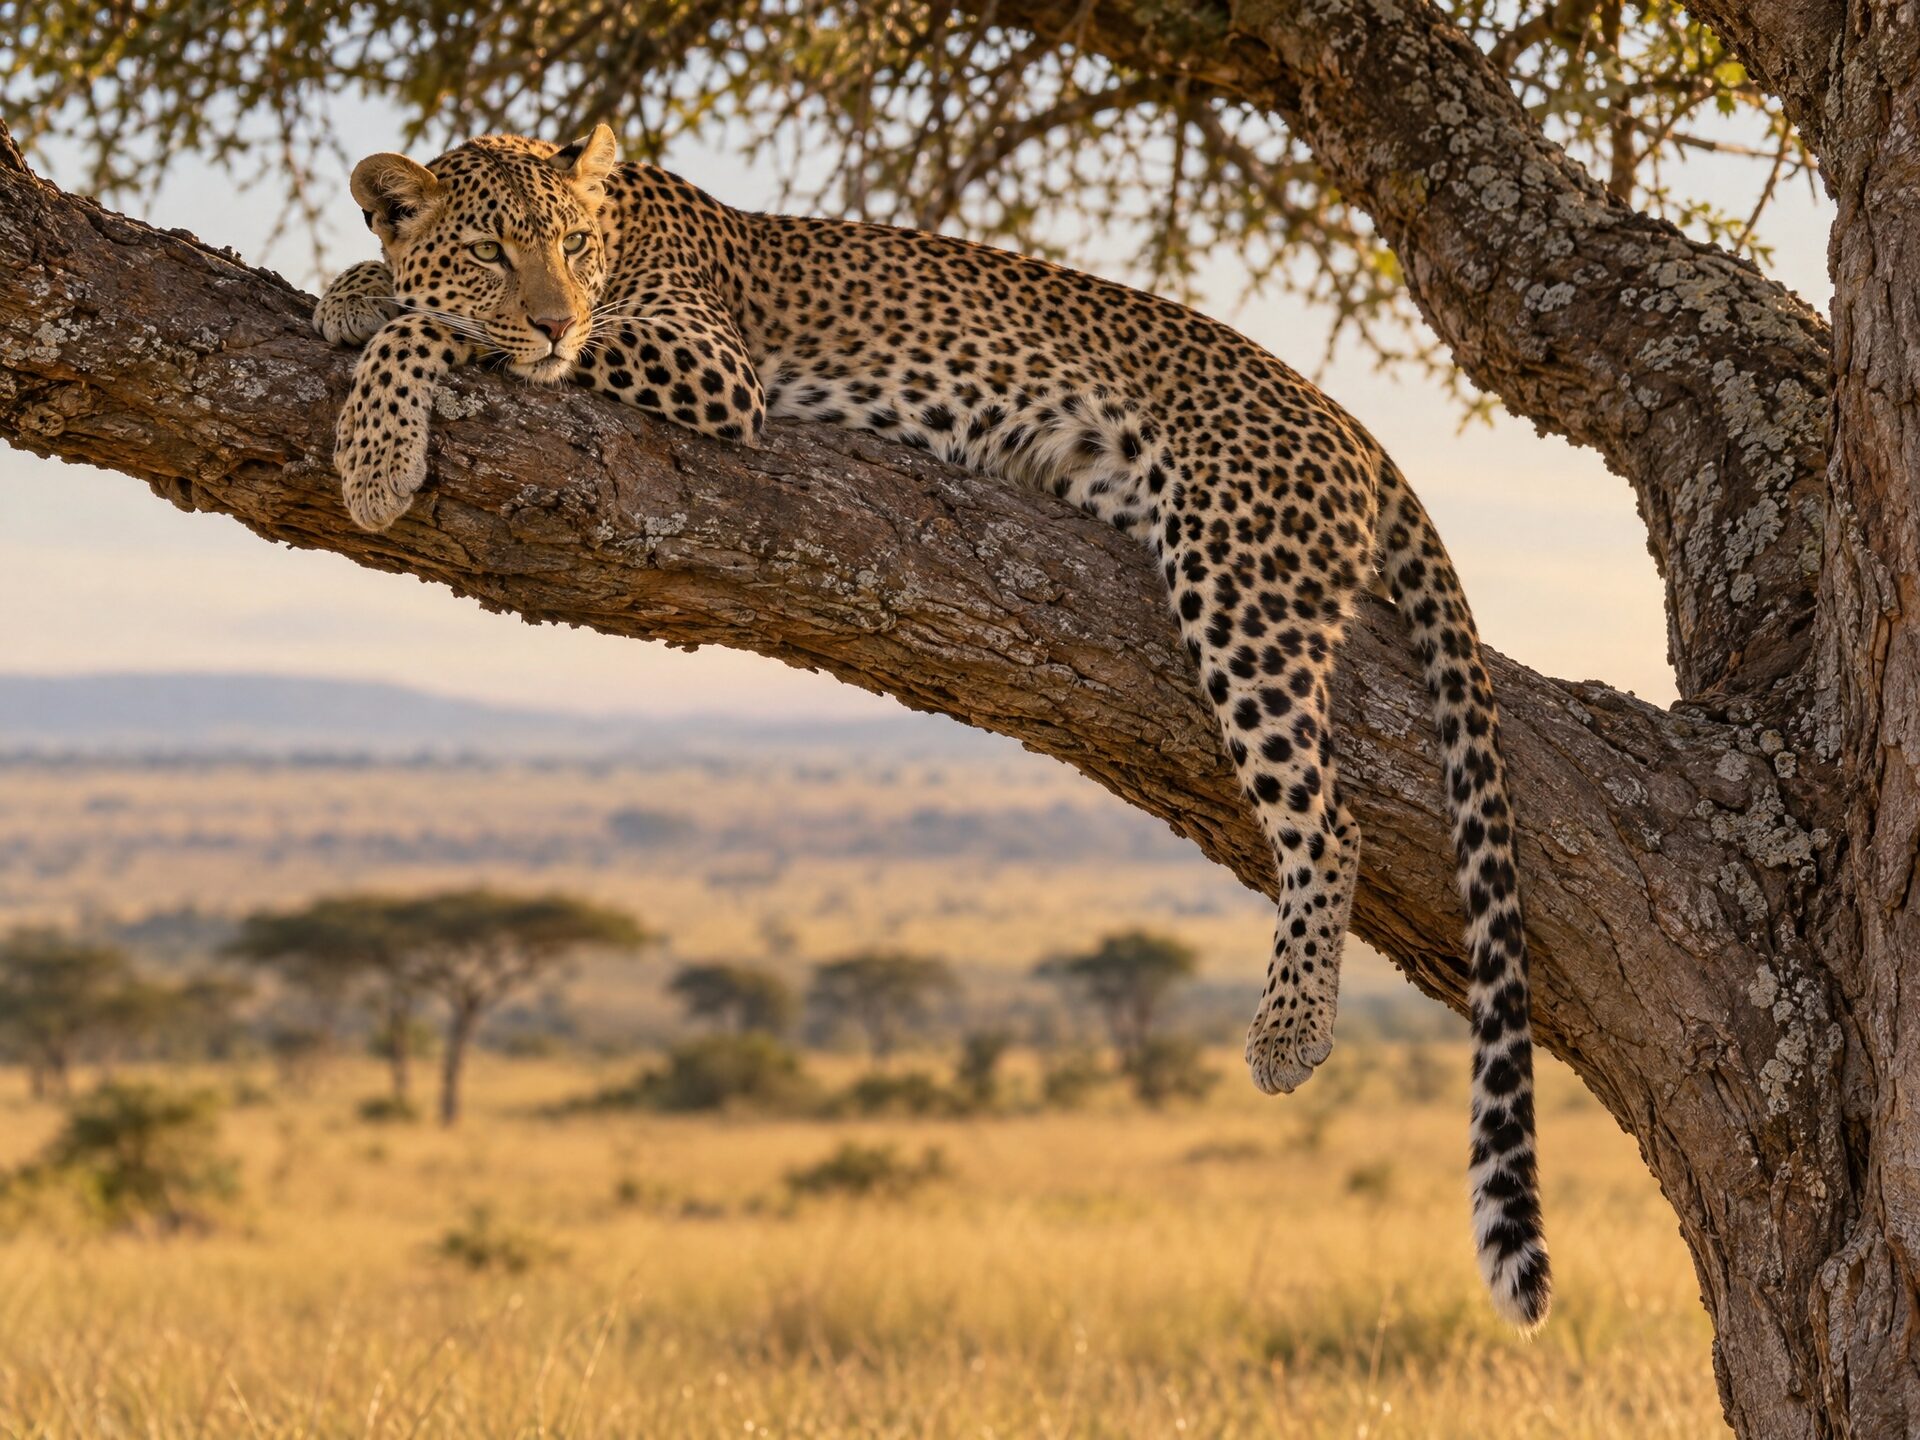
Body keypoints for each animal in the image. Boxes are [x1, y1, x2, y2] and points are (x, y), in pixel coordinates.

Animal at [315, 125, 1550, 1329]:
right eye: (494, 250)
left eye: (571, 246)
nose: (554, 314)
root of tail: (1354, 425)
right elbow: (418, 293)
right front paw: (352, 289)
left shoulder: (708, 366)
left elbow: (441, 332)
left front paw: (377, 440)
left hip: (1239, 582)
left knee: (1327, 823)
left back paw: (1289, 1029)